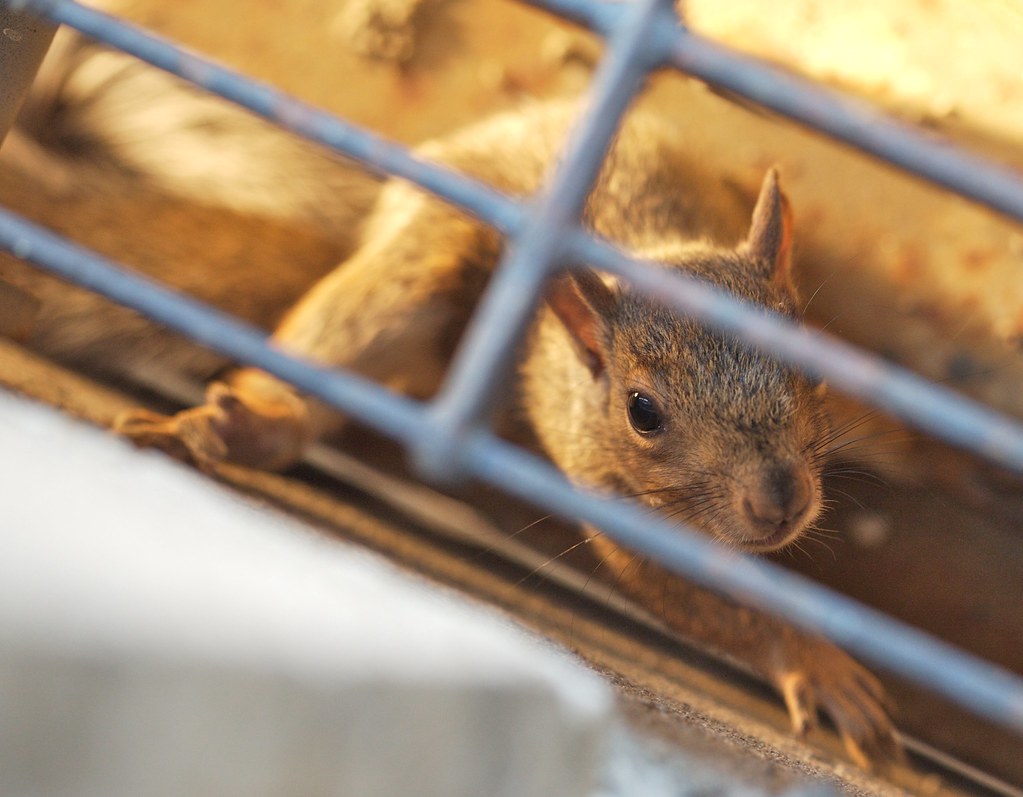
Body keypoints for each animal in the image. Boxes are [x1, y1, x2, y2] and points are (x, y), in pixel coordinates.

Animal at [2, 34, 898, 766]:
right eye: (641, 411)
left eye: (811, 368)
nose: (778, 500)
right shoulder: (614, 507)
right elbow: (693, 599)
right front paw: (814, 660)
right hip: (415, 270)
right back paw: (247, 425)